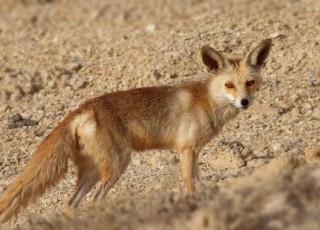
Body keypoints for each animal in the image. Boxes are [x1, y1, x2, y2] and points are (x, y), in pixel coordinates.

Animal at [0, 39, 272, 223]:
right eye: (229, 85)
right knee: (94, 201)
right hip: (118, 164)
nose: (245, 102)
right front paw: (190, 208)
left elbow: (201, 183)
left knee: (70, 204)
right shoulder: (185, 149)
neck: (206, 101)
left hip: (93, 171)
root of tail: (82, 108)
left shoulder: (193, 151)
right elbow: (190, 186)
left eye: (250, 83)